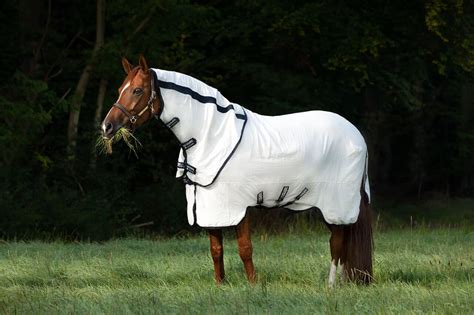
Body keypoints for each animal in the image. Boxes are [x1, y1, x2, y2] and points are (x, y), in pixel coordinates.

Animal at [101, 55, 374, 288]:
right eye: (120, 89)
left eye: (137, 90)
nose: (107, 126)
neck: (210, 135)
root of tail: (356, 135)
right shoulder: (210, 205)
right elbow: (216, 249)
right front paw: (220, 285)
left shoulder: (239, 205)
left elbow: (245, 248)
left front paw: (253, 286)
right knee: (342, 242)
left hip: (336, 204)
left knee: (336, 244)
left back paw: (331, 286)